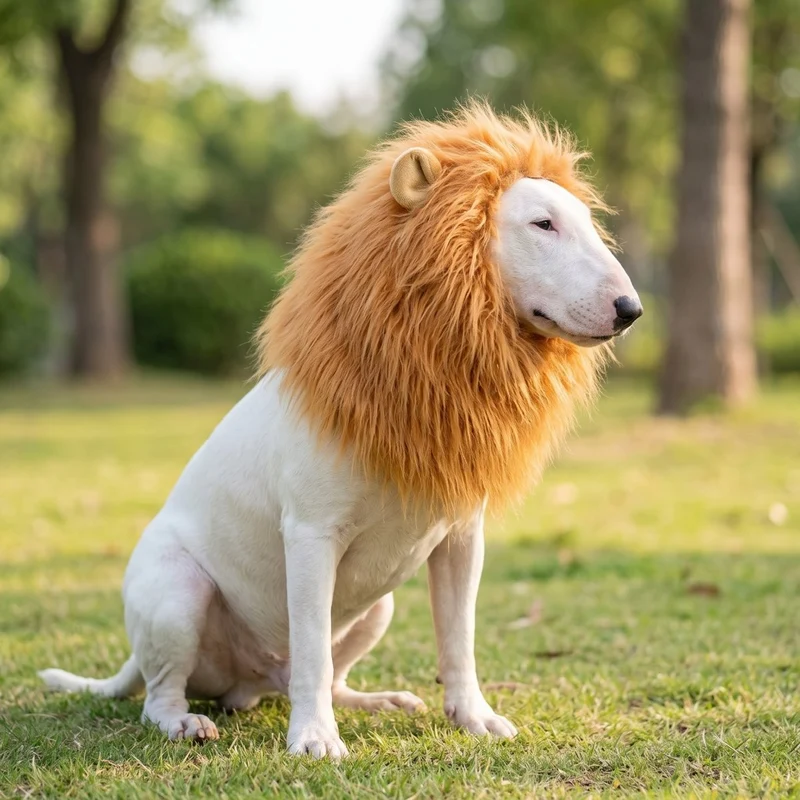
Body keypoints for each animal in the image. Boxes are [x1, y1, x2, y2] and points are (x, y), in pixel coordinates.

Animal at [39, 103, 641, 758]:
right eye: (542, 224)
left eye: (588, 223)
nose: (631, 310)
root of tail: (253, 682)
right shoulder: (309, 536)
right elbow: (311, 650)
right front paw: (314, 739)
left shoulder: (461, 537)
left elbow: (458, 636)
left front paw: (474, 717)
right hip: (177, 592)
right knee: (166, 691)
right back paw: (186, 722)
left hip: (380, 608)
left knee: (327, 675)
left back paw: (378, 701)